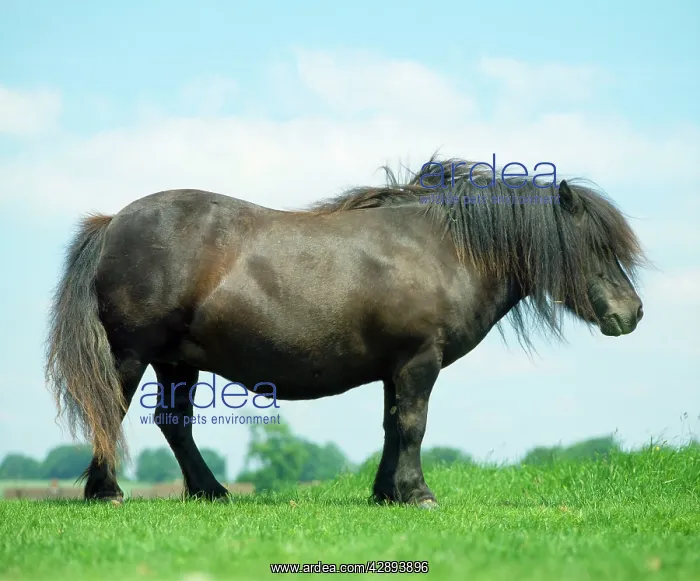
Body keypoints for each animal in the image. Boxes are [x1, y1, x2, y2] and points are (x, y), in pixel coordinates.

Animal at [45, 157, 646, 508]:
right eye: (596, 247)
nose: (633, 312)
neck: (441, 249)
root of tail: (114, 223)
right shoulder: (419, 360)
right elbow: (413, 426)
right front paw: (418, 494)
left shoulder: (395, 367)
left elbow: (391, 426)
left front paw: (387, 494)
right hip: (132, 353)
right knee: (110, 410)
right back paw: (107, 493)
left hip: (176, 361)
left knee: (176, 424)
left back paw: (210, 492)